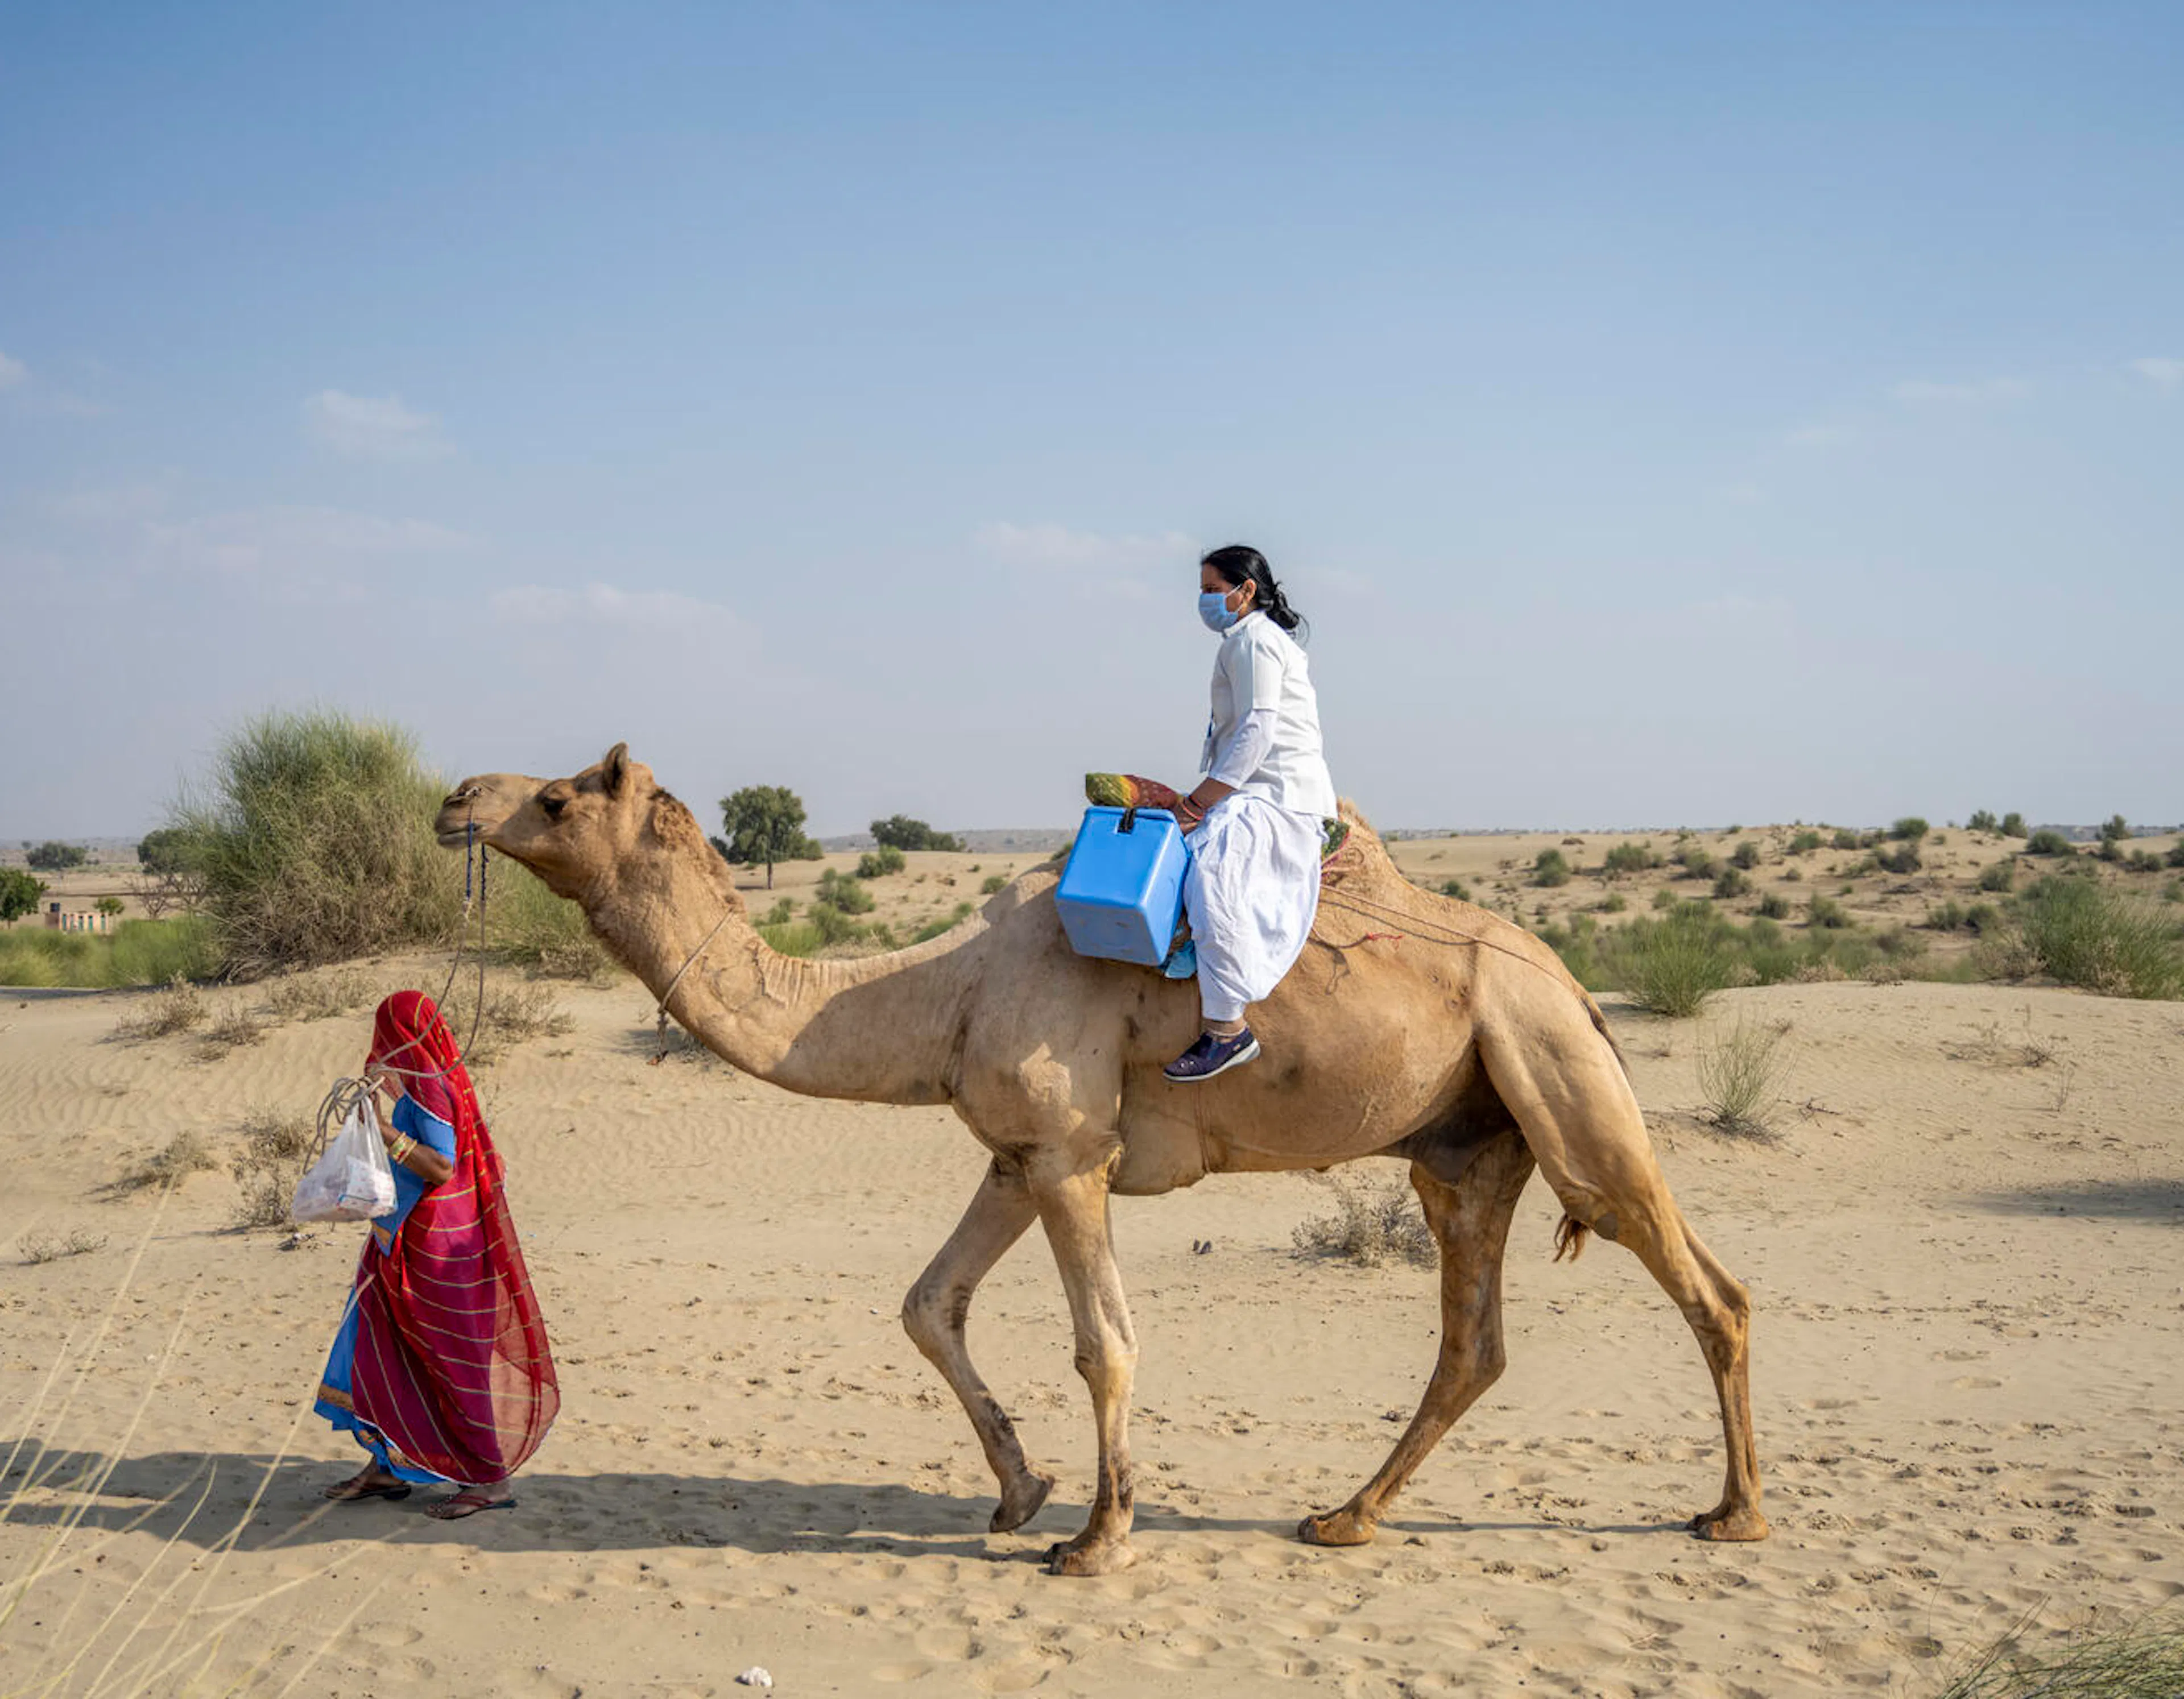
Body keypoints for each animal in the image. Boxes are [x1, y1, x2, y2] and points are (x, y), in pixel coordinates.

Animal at [435, 745, 1766, 1575]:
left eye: (558, 799)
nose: (455, 797)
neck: (948, 987)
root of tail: (1575, 983)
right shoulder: (1018, 1155)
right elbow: (927, 1304)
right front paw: (1018, 1493)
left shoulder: (1074, 1152)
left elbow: (1104, 1343)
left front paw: (1095, 1537)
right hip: (1469, 1145)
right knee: (1473, 1340)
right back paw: (1344, 1517)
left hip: (1558, 1079)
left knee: (1708, 1285)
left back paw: (1735, 1514)